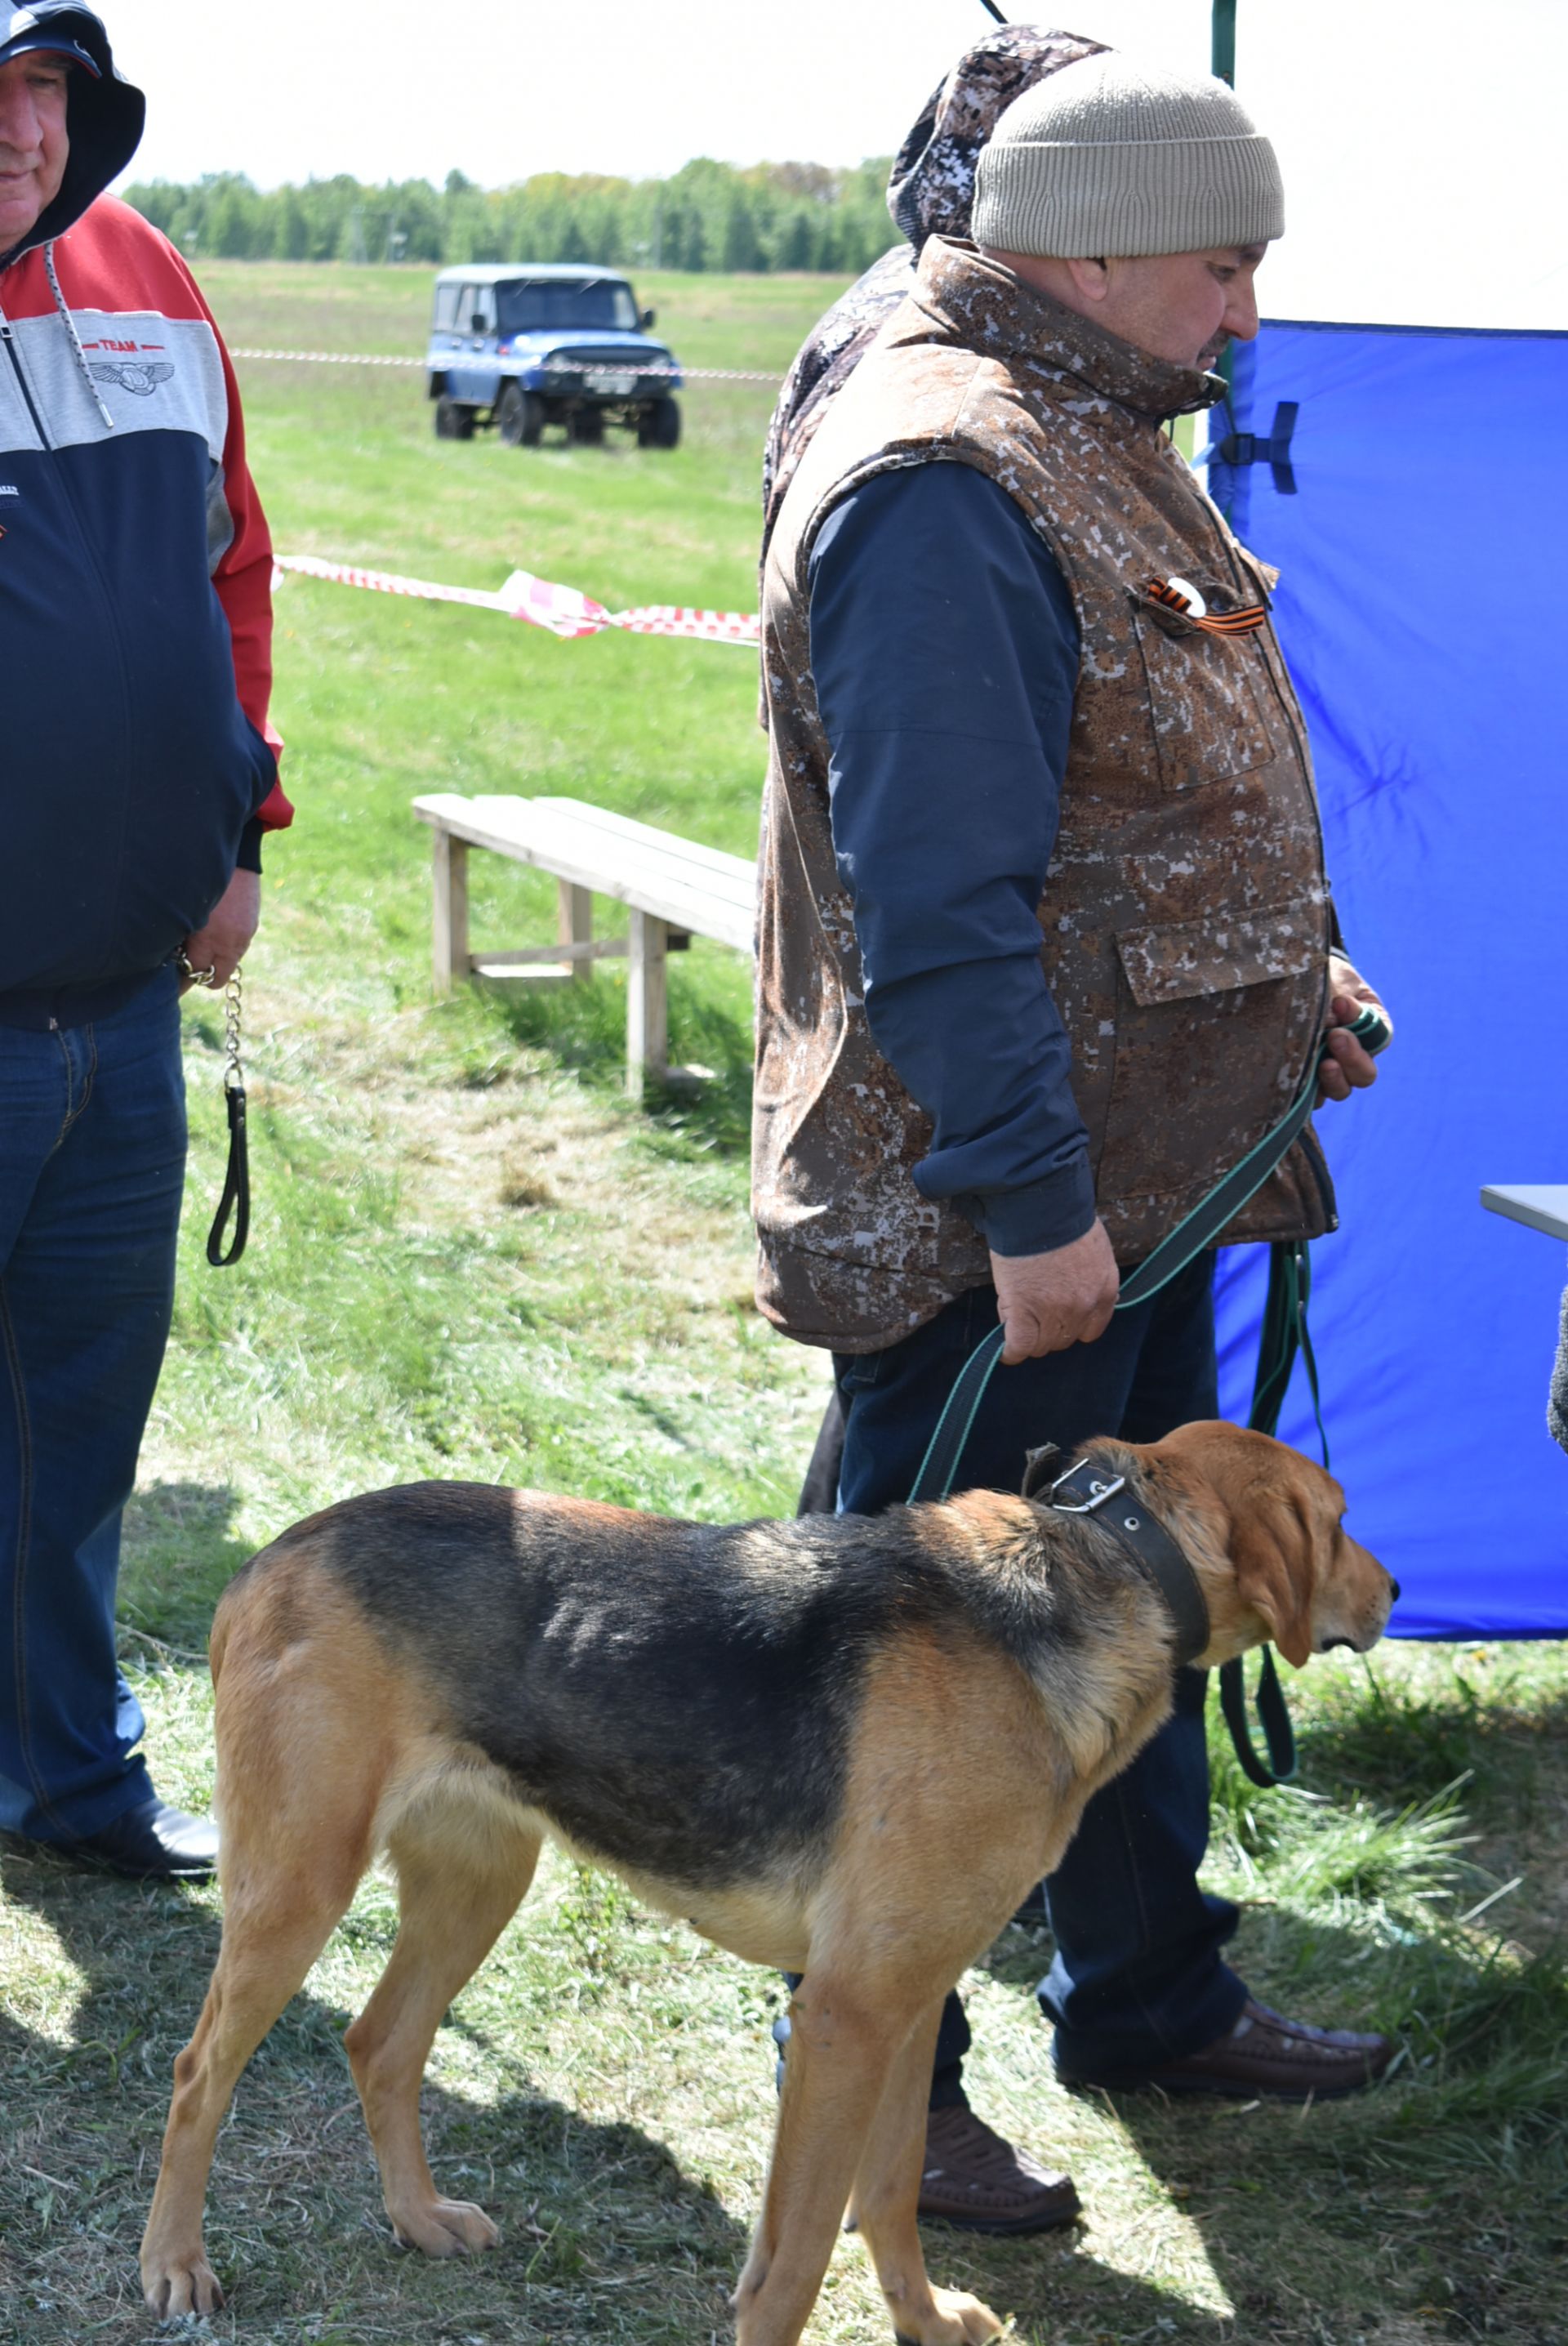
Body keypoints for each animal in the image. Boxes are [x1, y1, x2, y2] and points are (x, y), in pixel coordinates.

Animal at [140, 1416, 1388, 2336]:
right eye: (1338, 1520)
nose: (1394, 1593)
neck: (1103, 1568)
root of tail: (273, 1556)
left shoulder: (906, 2007)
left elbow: (889, 2196)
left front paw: (924, 2324)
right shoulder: (845, 2016)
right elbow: (793, 2263)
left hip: (477, 1885)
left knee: (380, 2044)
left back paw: (417, 2219)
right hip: (299, 1888)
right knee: (200, 2072)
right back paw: (174, 2266)